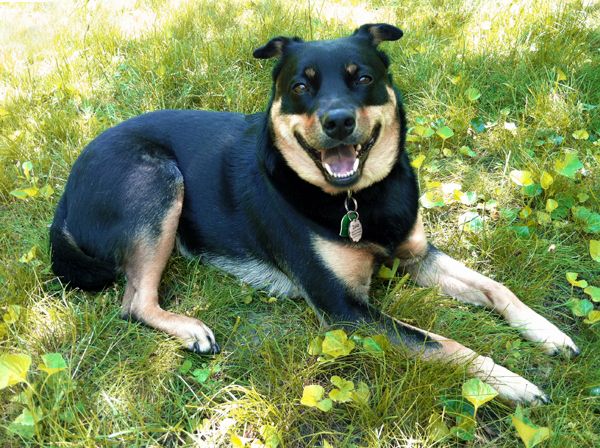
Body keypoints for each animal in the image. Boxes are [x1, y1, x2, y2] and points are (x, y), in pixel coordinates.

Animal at [49, 22, 580, 404]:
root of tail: (67, 189)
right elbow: (443, 344)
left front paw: (549, 334)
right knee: (135, 302)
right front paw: (509, 381)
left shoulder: (416, 255)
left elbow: (496, 288)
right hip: (157, 180)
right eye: (301, 87)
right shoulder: (347, 310)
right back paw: (190, 328)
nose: (338, 121)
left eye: (363, 78)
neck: (358, 198)